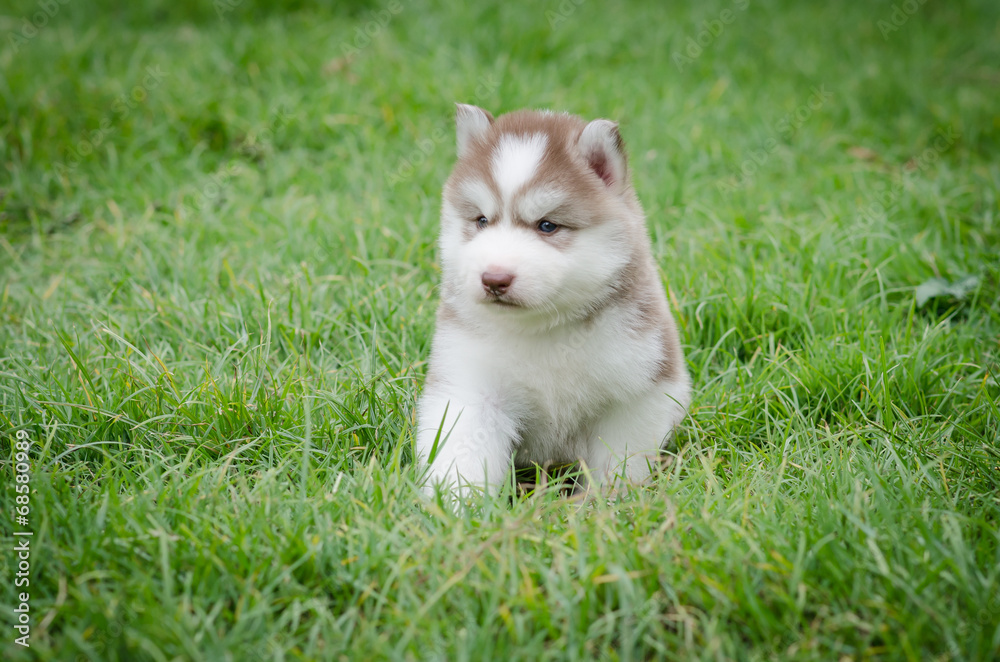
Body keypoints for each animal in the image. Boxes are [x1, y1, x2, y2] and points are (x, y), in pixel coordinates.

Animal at [414, 105, 688, 498]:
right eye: (481, 220)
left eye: (547, 225)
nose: (494, 279)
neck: (544, 326)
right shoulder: (470, 386)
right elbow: (462, 453)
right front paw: (454, 504)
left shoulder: (636, 392)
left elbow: (621, 462)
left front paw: (610, 502)